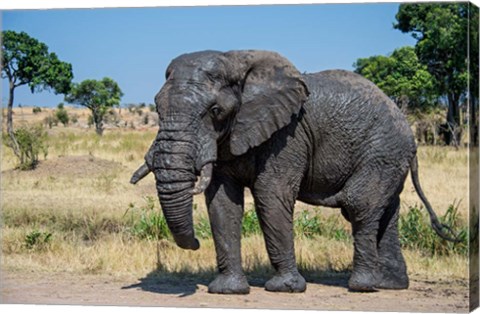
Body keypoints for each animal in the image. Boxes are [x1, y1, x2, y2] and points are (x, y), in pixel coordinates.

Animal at [130, 49, 454, 294]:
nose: (195, 244)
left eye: (214, 111)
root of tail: (408, 129)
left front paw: (284, 289)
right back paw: (390, 285)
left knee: (359, 205)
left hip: (382, 150)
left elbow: (270, 195)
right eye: (157, 107)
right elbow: (222, 202)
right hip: (390, 156)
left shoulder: (289, 134)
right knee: (387, 211)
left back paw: (362, 286)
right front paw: (227, 291)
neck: (236, 60)